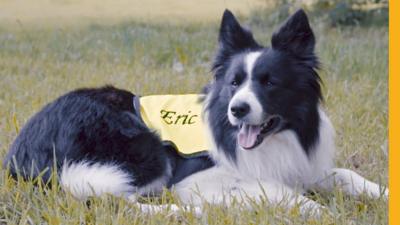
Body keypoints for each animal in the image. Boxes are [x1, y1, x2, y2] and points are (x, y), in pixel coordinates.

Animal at [3, 8, 388, 213]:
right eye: (234, 82)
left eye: (270, 82)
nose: (238, 110)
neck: (276, 140)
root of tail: (18, 154)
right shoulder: (196, 178)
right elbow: (272, 189)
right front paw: (314, 210)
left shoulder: (301, 164)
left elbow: (345, 175)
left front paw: (383, 195)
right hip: (144, 151)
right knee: (115, 202)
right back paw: (181, 212)